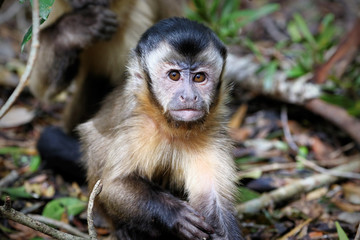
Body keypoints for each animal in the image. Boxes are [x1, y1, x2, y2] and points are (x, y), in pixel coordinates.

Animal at [77, 17, 243, 240]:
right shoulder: (139, 127)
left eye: (199, 77)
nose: (189, 96)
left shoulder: (212, 134)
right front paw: (176, 213)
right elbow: (112, 186)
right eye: (174, 75)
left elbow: (213, 200)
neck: (174, 128)